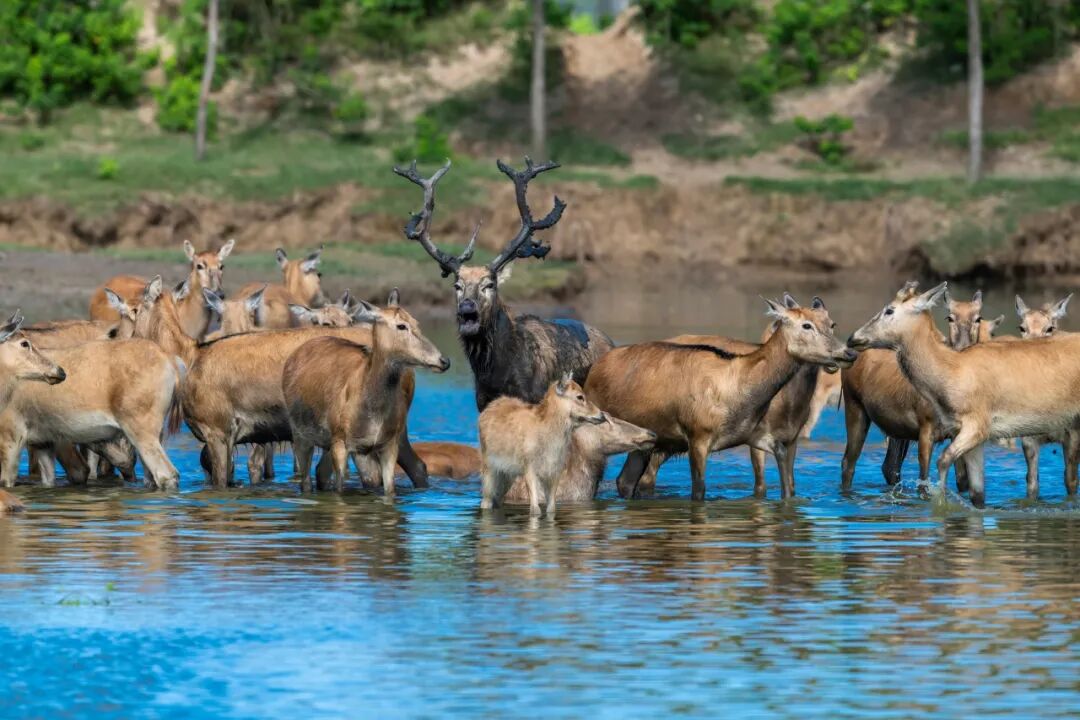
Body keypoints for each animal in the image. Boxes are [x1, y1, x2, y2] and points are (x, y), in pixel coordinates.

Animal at [282, 290, 450, 495]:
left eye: (417, 322)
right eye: (401, 325)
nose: (444, 360)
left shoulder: (388, 443)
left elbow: (389, 489)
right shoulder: (340, 440)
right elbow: (339, 490)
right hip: (300, 434)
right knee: (306, 480)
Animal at [395, 158, 613, 411]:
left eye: (489, 284)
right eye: (457, 285)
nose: (466, 308)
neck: (498, 374)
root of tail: (611, 342)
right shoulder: (483, 402)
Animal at [479, 374, 606, 516]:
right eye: (579, 396)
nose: (602, 415)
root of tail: (487, 409)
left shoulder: (555, 472)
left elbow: (551, 508)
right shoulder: (530, 468)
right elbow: (535, 509)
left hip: (507, 474)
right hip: (489, 468)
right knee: (486, 500)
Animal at [586, 298, 857, 501]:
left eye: (831, 323)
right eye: (806, 325)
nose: (848, 353)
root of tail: (595, 368)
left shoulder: (754, 434)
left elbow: (786, 480)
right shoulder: (697, 434)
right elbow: (699, 490)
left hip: (649, 441)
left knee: (625, 480)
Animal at [848, 282, 1080, 508]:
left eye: (889, 310)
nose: (852, 338)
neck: (952, 374)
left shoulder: (978, 423)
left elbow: (942, 460)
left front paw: (940, 501)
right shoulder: (966, 432)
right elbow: (977, 494)